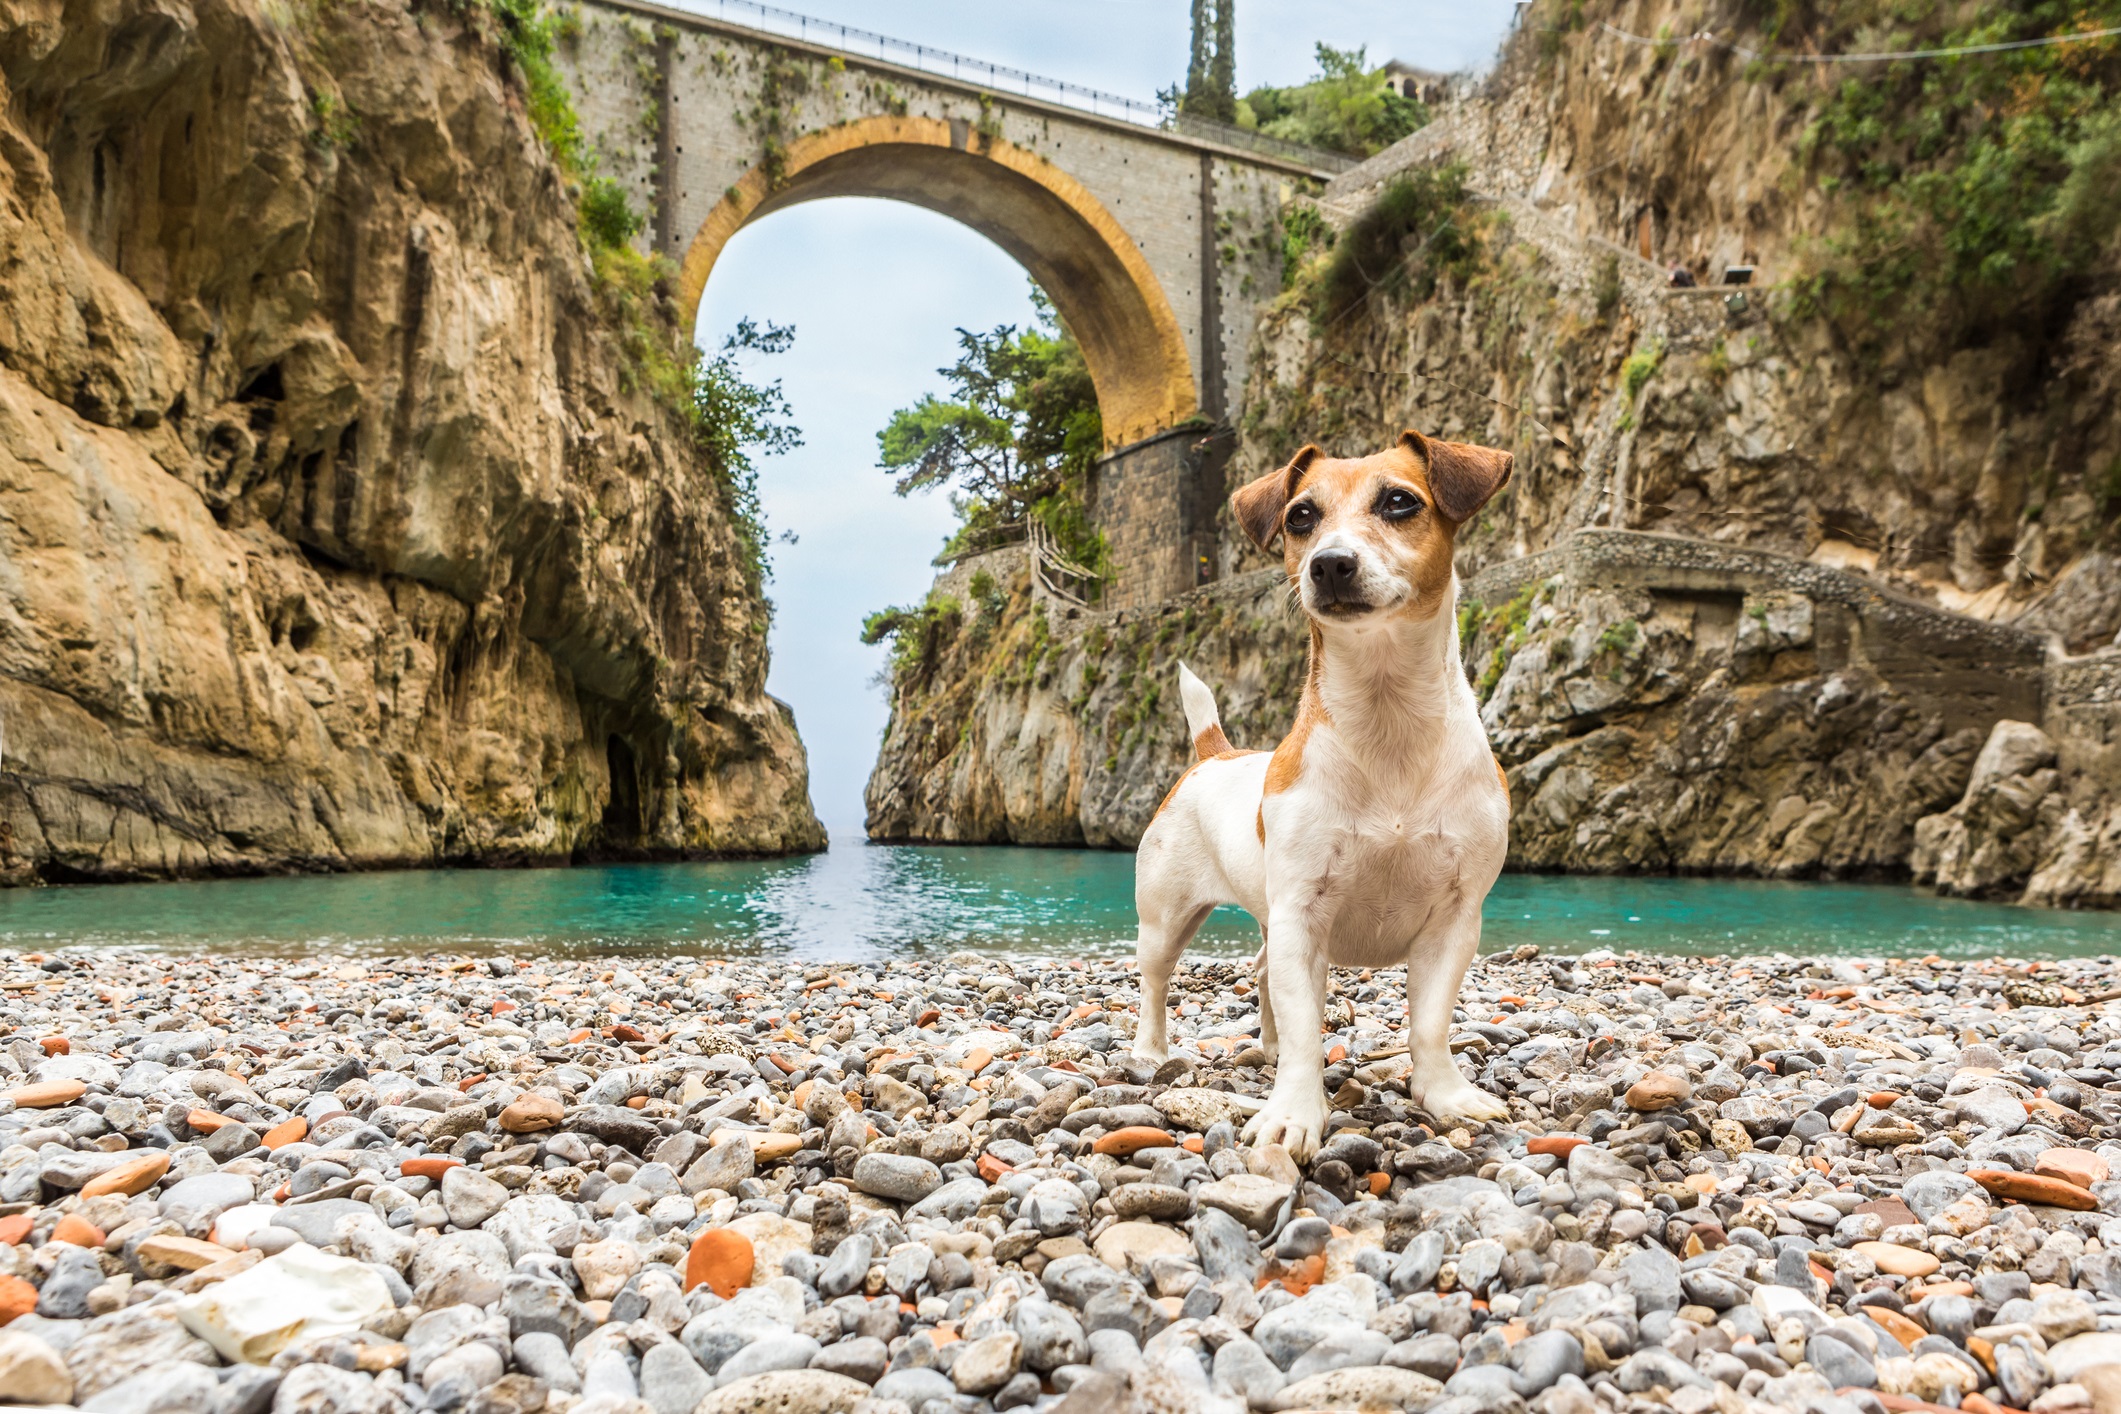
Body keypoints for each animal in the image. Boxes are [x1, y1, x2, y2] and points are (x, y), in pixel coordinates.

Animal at [1136, 428, 1518, 1161]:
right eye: (1300, 517)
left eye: (1399, 502)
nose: (1330, 565)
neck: (1386, 714)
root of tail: (1214, 753)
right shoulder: (1301, 917)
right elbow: (1306, 1032)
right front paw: (1293, 1112)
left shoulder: (1455, 920)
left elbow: (1430, 1023)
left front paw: (1445, 1097)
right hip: (1166, 918)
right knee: (1156, 981)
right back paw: (1149, 1051)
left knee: (1259, 976)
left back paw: (1264, 1044)